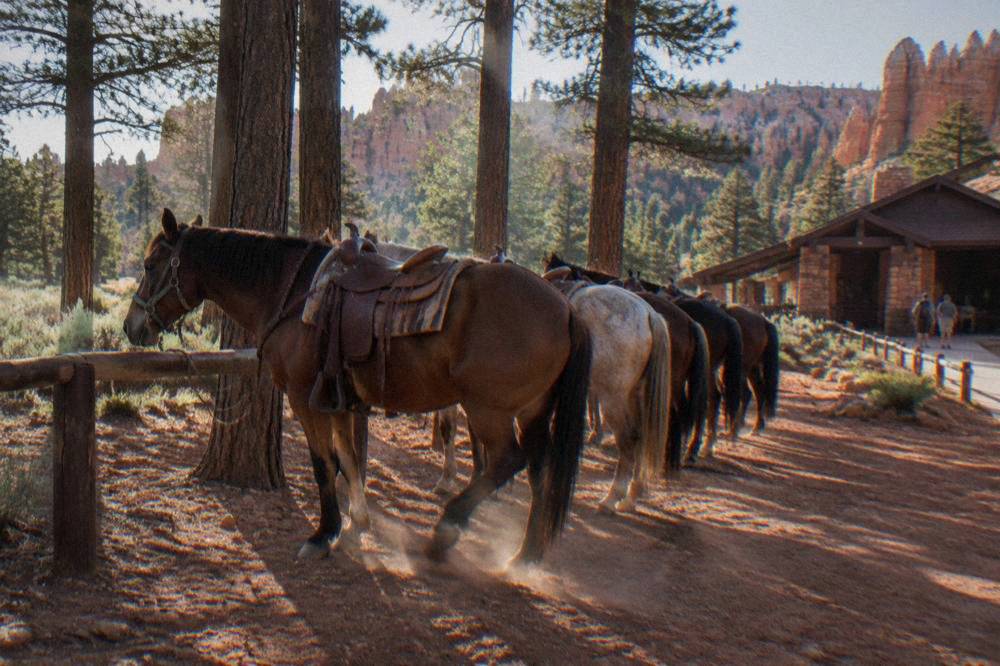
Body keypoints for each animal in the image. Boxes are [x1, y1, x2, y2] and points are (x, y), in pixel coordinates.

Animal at [124, 209, 592, 565]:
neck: (294, 292)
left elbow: (323, 465)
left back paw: (446, 530)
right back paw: (525, 555)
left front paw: (324, 533)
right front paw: (356, 525)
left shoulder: (305, 398)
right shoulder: (340, 402)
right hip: (532, 410)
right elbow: (349, 460)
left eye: (149, 266)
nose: (132, 326)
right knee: (539, 469)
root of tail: (565, 308)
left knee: (508, 461)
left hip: (488, 410)